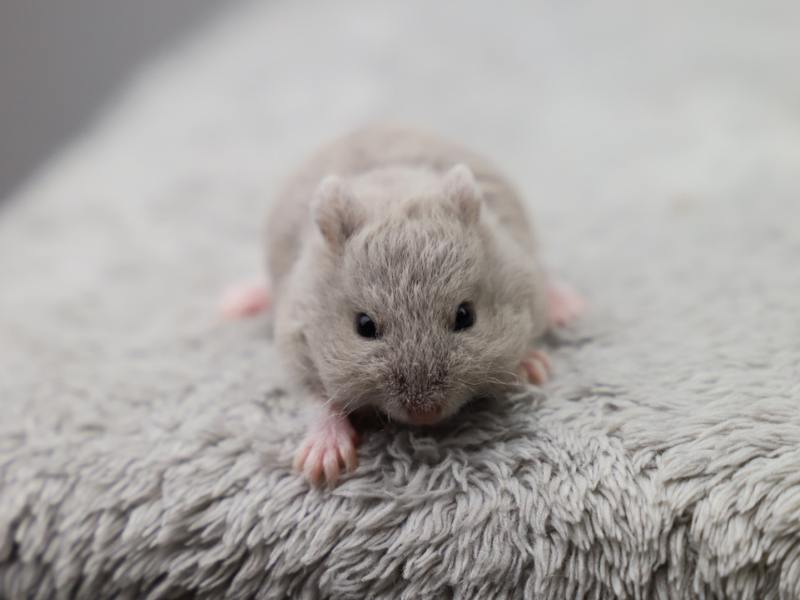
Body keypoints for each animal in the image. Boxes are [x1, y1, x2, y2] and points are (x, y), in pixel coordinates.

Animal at [222, 127, 585, 485]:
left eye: (465, 315)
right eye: (364, 326)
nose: (424, 415)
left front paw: (531, 367)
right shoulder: (295, 339)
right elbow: (316, 398)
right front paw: (322, 465)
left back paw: (568, 308)